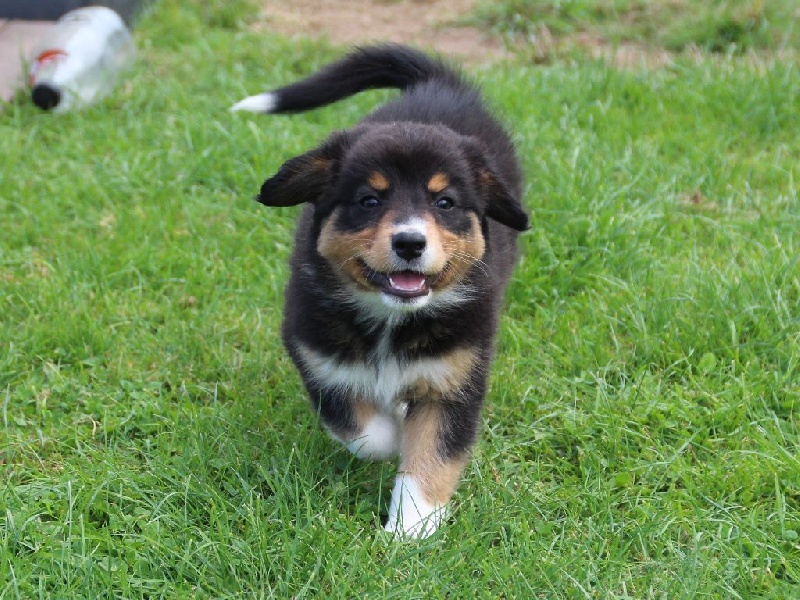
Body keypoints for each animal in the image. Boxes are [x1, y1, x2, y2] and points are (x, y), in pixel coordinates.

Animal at [233, 45, 529, 538]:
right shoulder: (321, 361)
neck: (393, 320)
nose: (409, 242)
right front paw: (393, 439)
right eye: (369, 201)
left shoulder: (455, 378)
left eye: (444, 202)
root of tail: (439, 85)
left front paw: (410, 532)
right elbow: (366, 433)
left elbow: (430, 458)